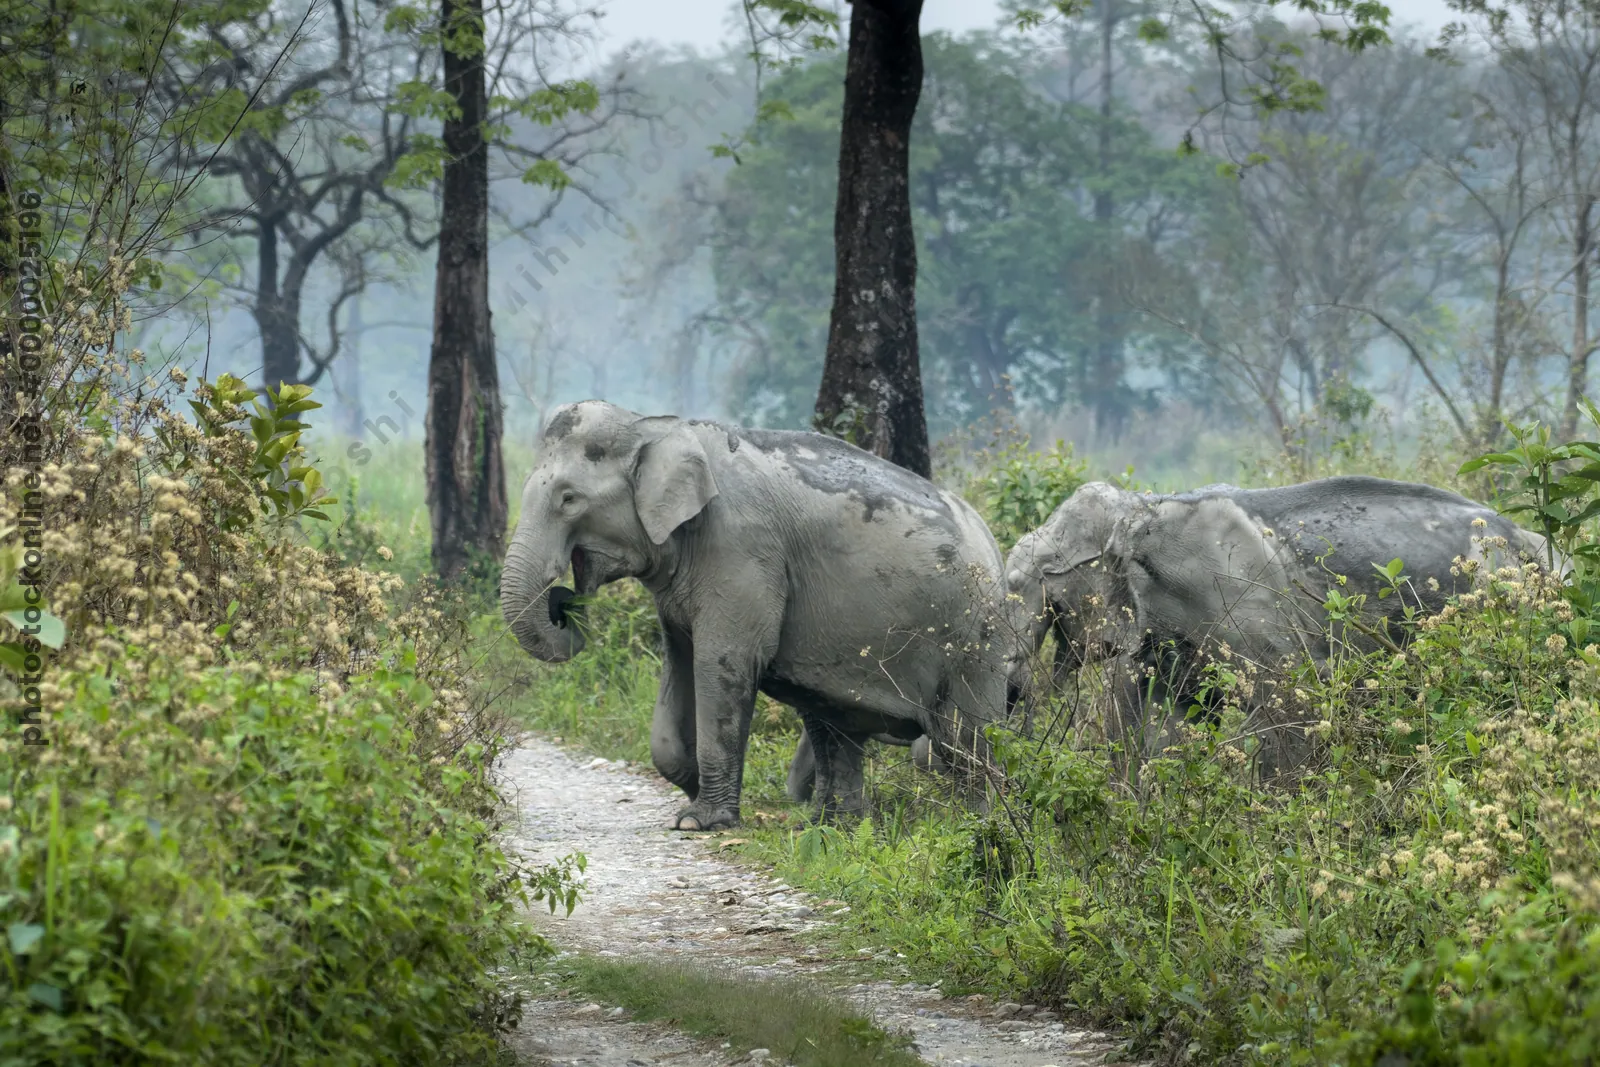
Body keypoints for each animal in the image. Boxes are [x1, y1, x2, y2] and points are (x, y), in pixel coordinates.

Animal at [500, 400, 1019, 830]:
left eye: (569, 499)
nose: (563, 601)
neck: (654, 425)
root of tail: (993, 547)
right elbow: (679, 662)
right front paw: (689, 789)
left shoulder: (740, 548)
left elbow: (722, 663)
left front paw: (700, 822)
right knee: (834, 723)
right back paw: (830, 827)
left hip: (974, 637)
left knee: (963, 739)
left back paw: (980, 826)